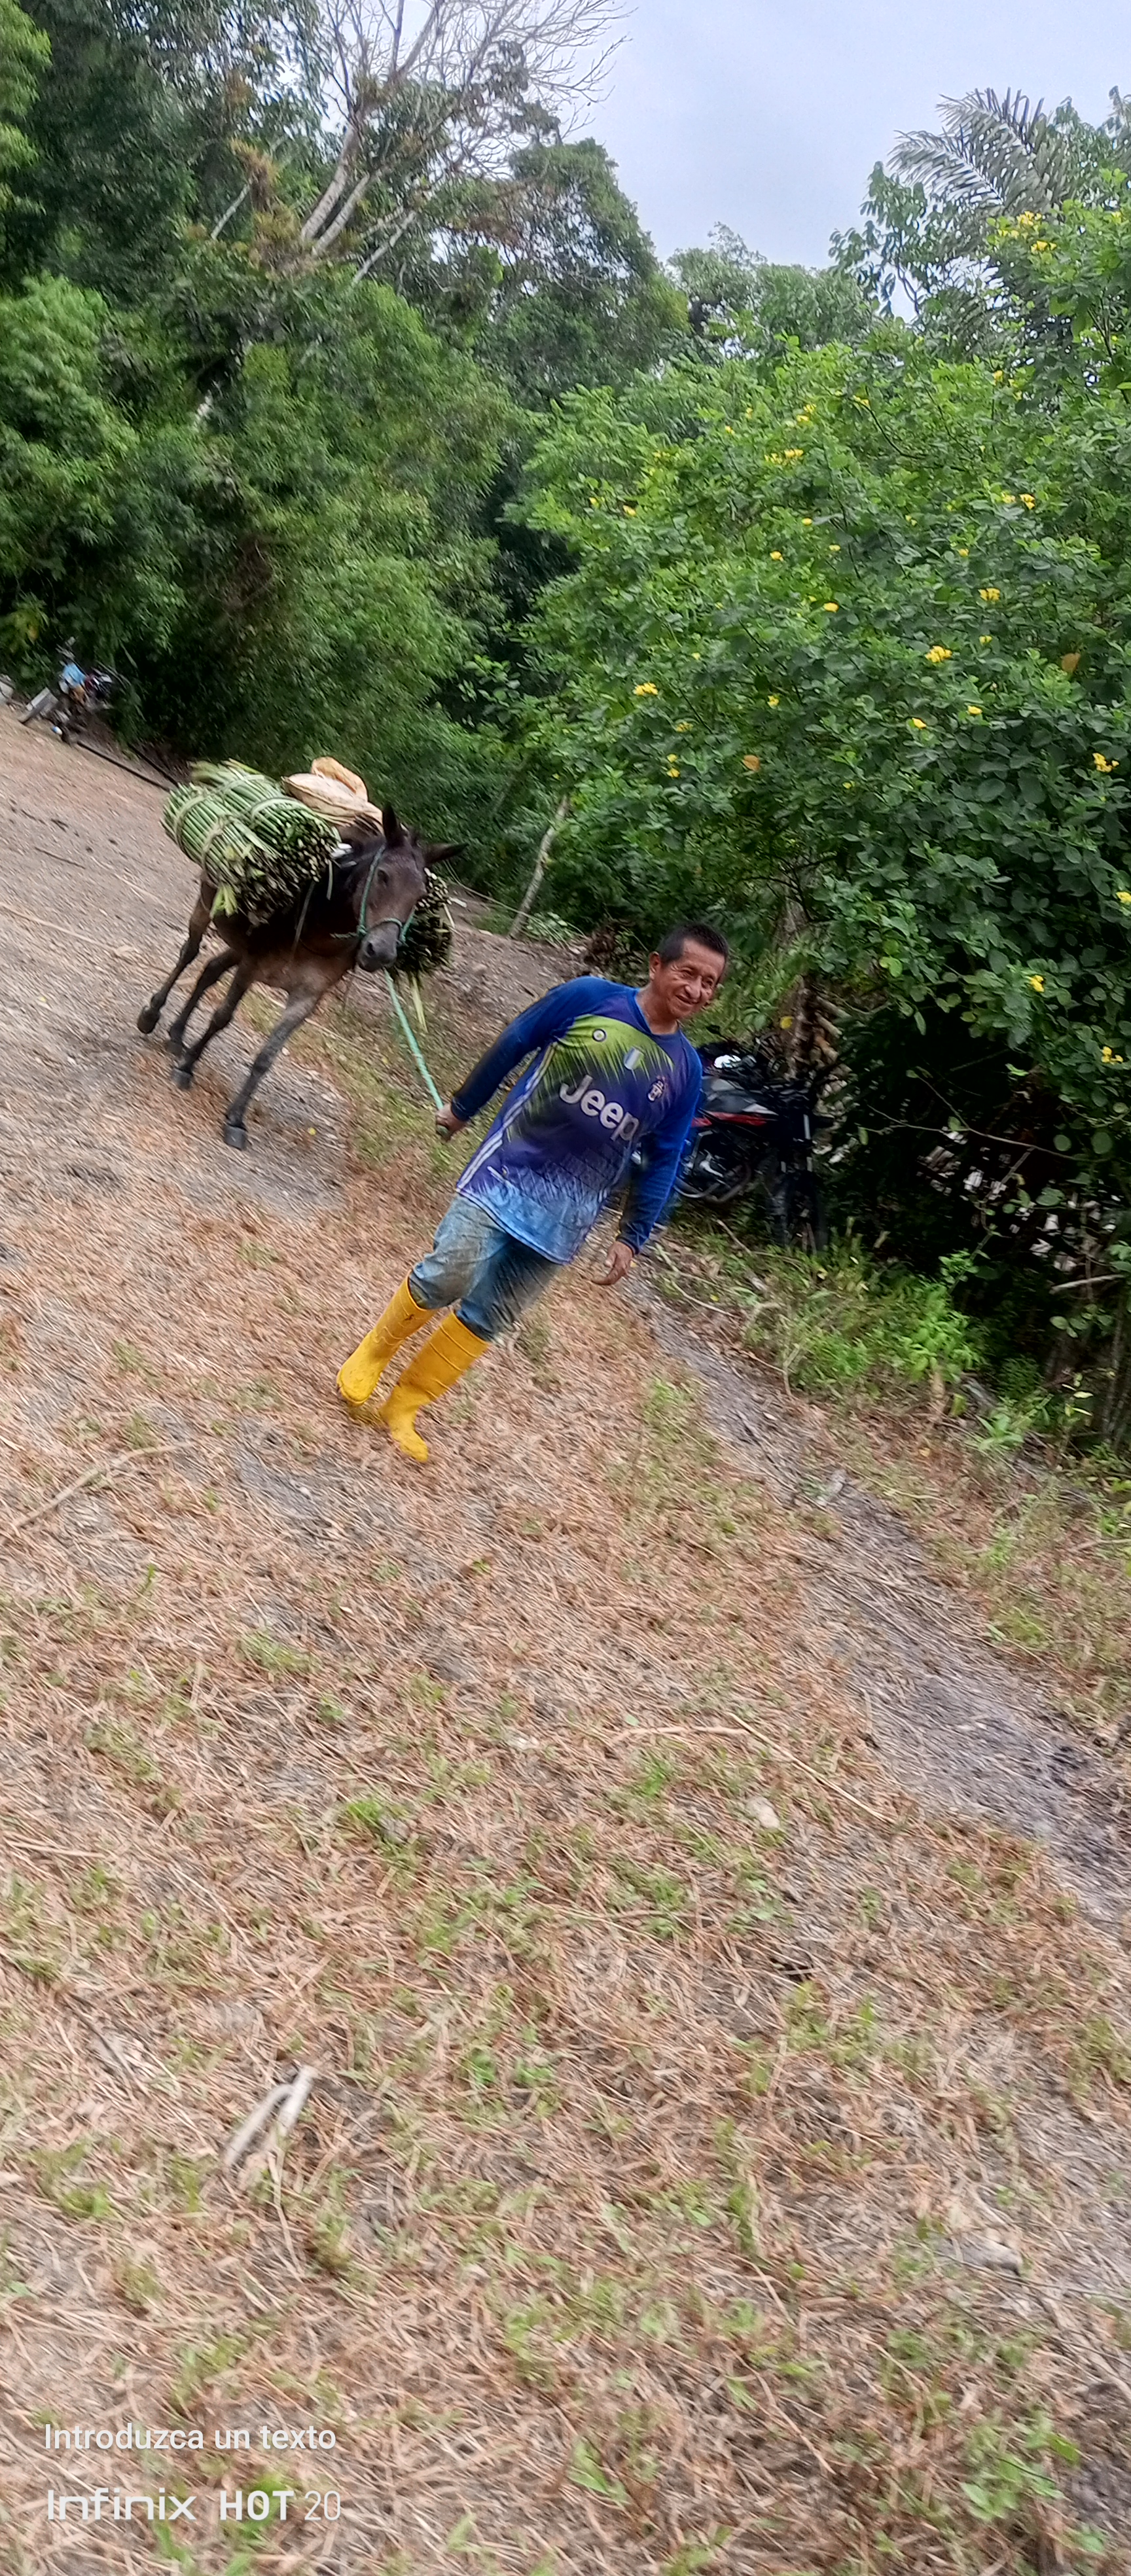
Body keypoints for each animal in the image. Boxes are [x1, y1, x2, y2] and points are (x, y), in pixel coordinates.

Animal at [138, 807, 457, 1151]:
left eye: (421, 896)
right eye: (383, 876)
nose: (380, 952)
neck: (319, 924)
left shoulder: (306, 998)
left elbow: (267, 1057)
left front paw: (236, 1119)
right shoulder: (251, 968)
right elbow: (221, 1018)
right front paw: (187, 1068)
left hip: (238, 947)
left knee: (210, 970)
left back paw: (177, 1035)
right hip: (207, 906)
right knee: (189, 954)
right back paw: (152, 1015)